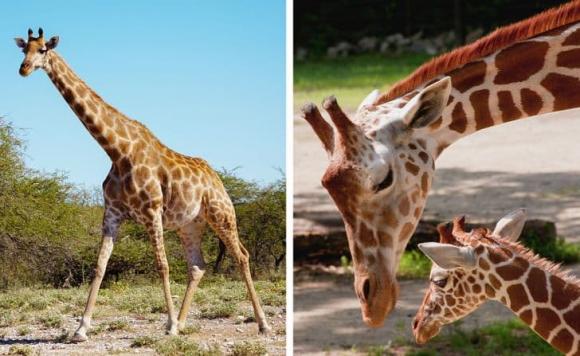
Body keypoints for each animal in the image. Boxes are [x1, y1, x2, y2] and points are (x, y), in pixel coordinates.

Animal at [13, 28, 272, 342]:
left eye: (43, 50)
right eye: (23, 49)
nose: (24, 69)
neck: (117, 151)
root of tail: (216, 177)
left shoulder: (151, 211)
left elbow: (162, 265)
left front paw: (169, 324)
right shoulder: (112, 213)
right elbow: (99, 266)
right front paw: (81, 328)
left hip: (221, 214)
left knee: (242, 256)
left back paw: (262, 324)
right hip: (190, 224)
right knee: (197, 266)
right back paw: (183, 322)